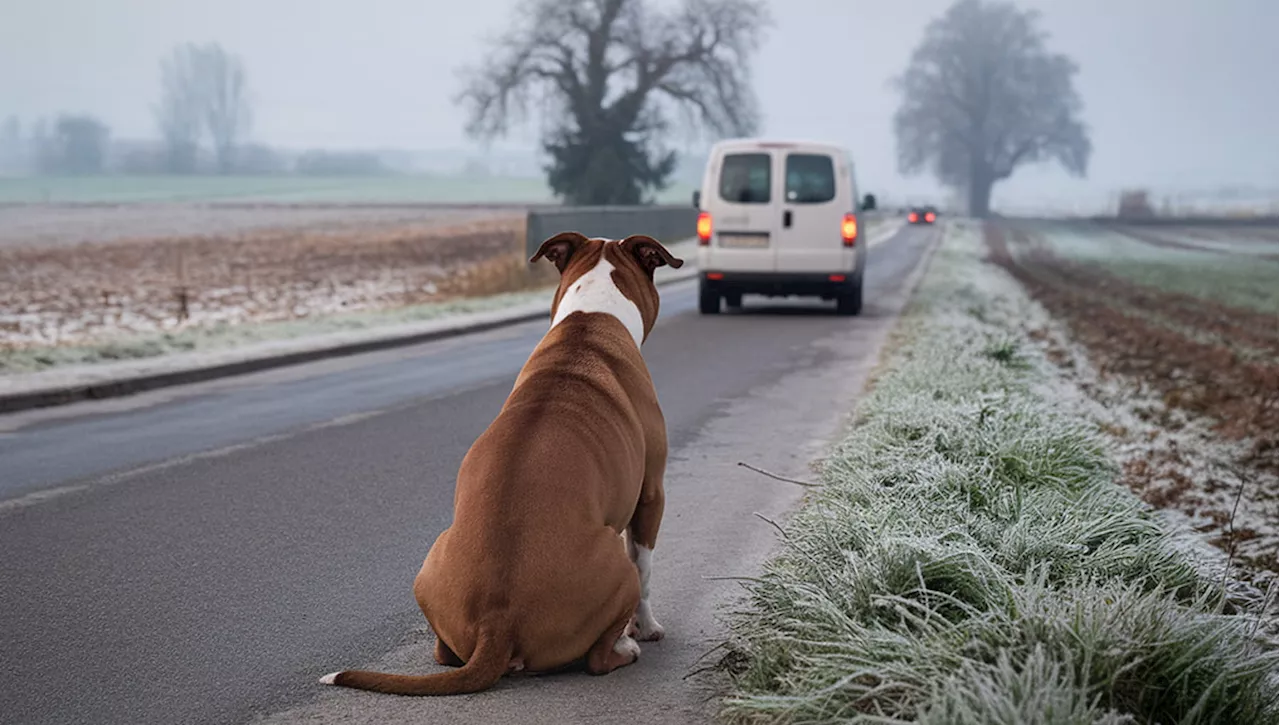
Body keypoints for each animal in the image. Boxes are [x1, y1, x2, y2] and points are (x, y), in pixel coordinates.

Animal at [320, 233, 680, 696]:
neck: (591, 318)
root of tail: (498, 623)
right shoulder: (651, 493)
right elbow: (646, 564)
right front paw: (647, 628)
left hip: (431, 564)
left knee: (444, 653)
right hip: (616, 568)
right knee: (600, 655)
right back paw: (624, 649)